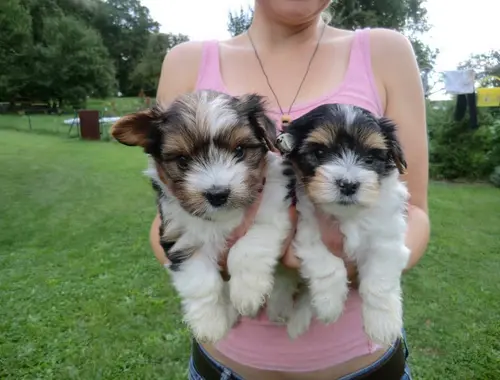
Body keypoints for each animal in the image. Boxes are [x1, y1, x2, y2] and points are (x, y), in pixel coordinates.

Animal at [109, 90, 292, 342]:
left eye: (239, 150)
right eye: (182, 160)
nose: (218, 194)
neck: (221, 218)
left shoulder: (272, 207)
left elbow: (247, 246)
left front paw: (247, 292)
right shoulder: (180, 237)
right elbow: (200, 282)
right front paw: (209, 324)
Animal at [274, 103, 410, 344]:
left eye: (370, 157)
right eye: (319, 153)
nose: (348, 184)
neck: (347, 215)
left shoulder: (387, 236)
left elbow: (380, 279)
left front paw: (382, 324)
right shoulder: (306, 227)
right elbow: (327, 264)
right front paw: (330, 304)